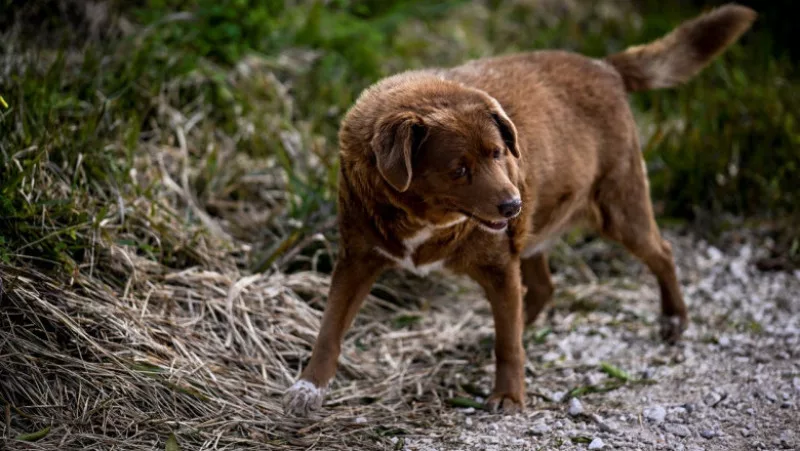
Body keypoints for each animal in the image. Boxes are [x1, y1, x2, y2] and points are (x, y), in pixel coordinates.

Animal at [286, 5, 756, 418]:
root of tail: (605, 67)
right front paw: (308, 387)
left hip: (618, 208)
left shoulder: (497, 265)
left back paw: (674, 319)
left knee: (661, 252)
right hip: (533, 231)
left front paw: (509, 396)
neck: (424, 219)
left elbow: (508, 344)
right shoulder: (357, 258)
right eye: (459, 169)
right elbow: (330, 327)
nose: (512, 204)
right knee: (541, 289)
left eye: (498, 153)